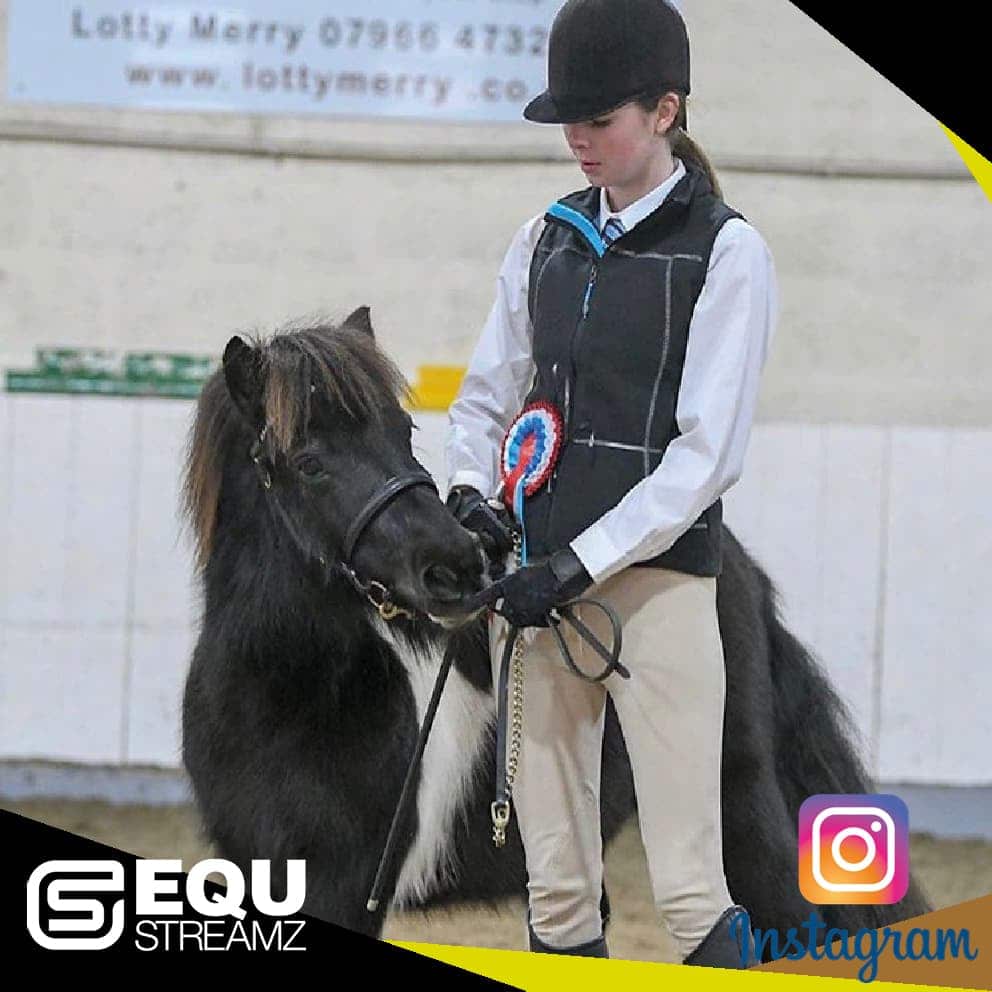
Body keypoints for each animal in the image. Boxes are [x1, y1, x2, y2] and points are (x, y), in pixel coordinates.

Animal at [180, 308, 931, 953]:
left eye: (402, 433)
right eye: (309, 462)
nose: (455, 565)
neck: (288, 695)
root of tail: (734, 572)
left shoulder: (344, 883)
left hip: (735, 806)